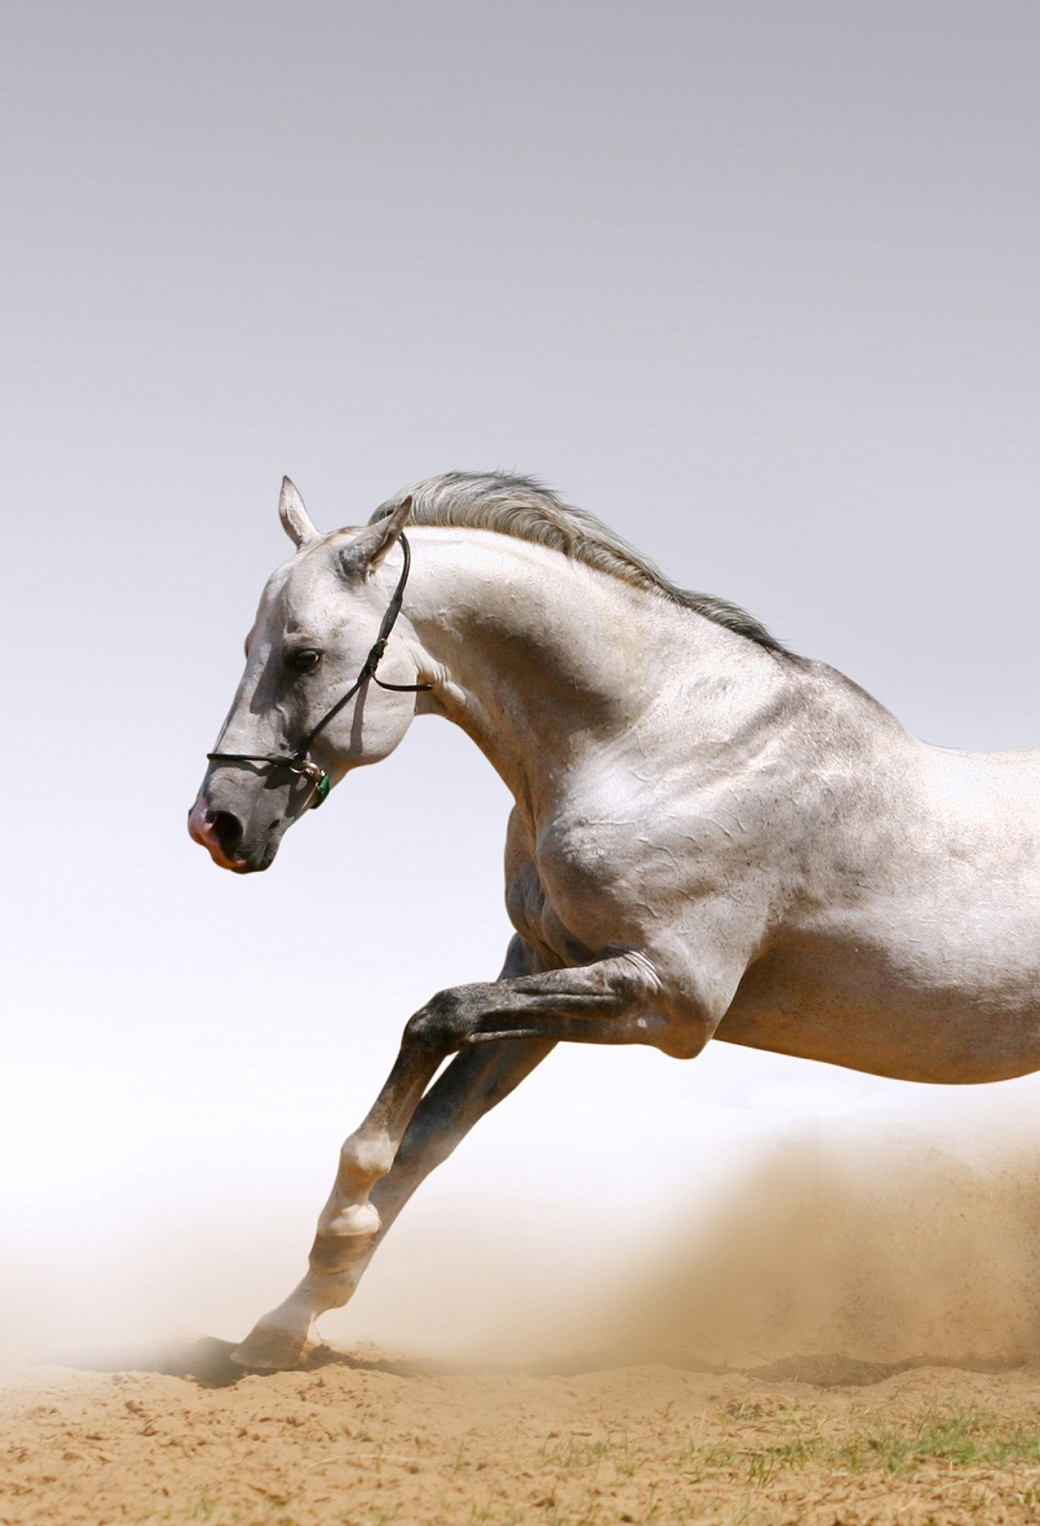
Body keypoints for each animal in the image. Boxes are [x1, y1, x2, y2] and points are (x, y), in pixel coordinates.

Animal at [189, 471, 1040, 1371]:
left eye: (305, 656)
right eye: (249, 646)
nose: (218, 823)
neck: (656, 745)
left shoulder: (670, 999)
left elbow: (434, 1020)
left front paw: (340, 1223)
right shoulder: (541, 972)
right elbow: (431, 1135)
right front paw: (286, 1322)